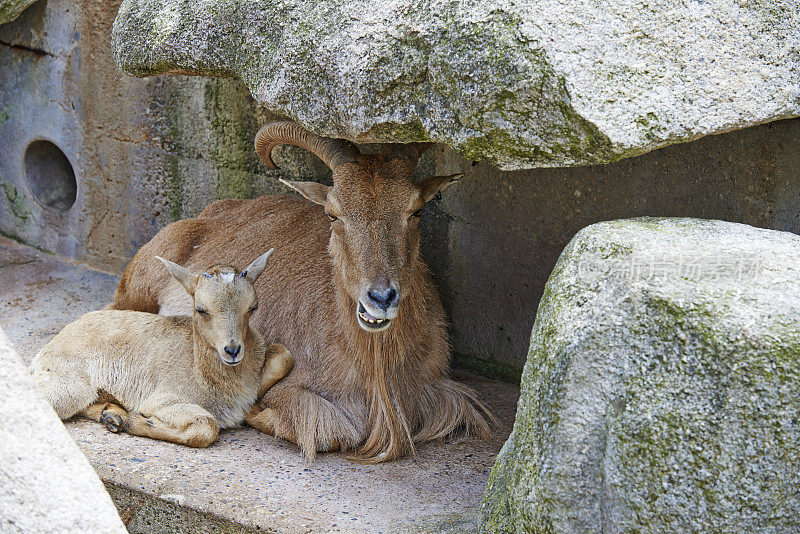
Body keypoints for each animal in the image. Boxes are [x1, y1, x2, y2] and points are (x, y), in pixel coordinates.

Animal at [32, 251, 294, 448]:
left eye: (252, 307)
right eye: (201, 309)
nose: (232, 350)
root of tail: (47, 348)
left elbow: (284, 355)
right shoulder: (164, 399)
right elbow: (206, 428)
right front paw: (138, 421)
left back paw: (112, 415)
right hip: (68, 385)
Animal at [109, 120, 490, 460]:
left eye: (416, 211)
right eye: (333, 214)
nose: (380, 298)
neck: (377, 367)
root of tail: (210, 211)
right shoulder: (303, 392)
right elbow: (331, 434)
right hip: (137, 289)